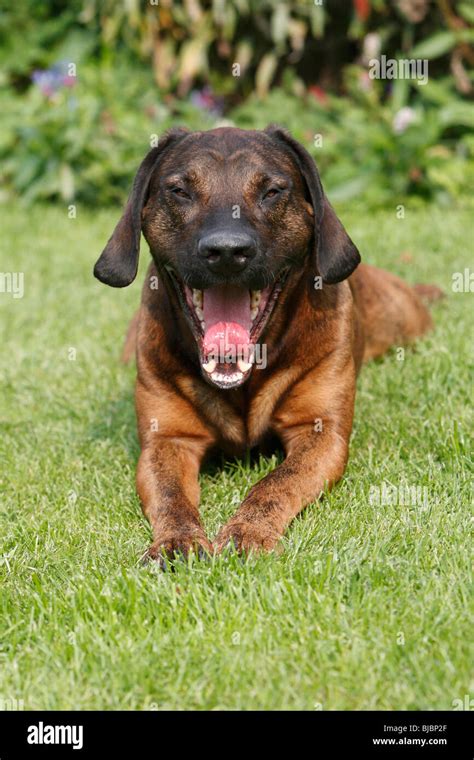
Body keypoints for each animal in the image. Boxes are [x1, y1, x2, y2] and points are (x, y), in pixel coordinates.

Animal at [94, 126, 442, 564]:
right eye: (179, 190)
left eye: (272, 191)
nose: (227, 251)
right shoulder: (167, 439)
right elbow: (171, 496)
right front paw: (177, 541)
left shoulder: (321, 433)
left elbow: (275, 483)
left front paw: (248, 531)